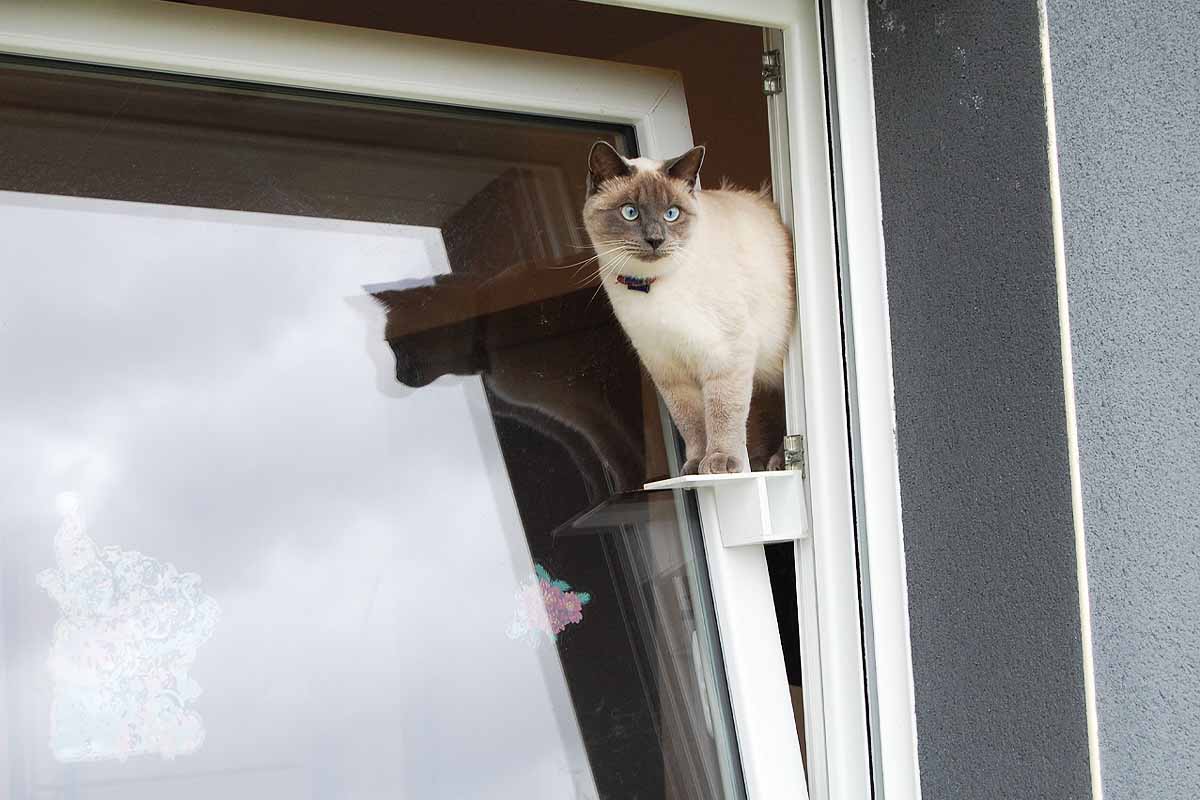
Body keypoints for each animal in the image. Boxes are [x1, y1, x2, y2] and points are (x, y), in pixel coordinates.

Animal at [583, 142, 796, 474]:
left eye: (671, 214)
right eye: (630, 212)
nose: (655, 239)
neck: (653, 287)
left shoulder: (725, 356)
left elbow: (722, 414)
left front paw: (720, 463)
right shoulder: (668, 369)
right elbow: (692, 422)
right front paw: (695, 465)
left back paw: (772, 462)